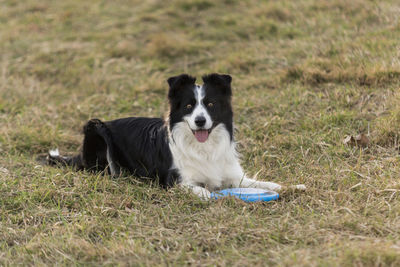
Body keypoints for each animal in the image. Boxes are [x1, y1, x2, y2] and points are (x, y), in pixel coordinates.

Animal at [47, 73, 304, 199]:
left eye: (210, 104)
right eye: (189, 106)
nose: (200, 121)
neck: (204, 148)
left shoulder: (233, 175)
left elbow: (265, 183)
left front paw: (293, 186)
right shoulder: (176, 180)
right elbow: (203, 190)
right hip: (97, 128)